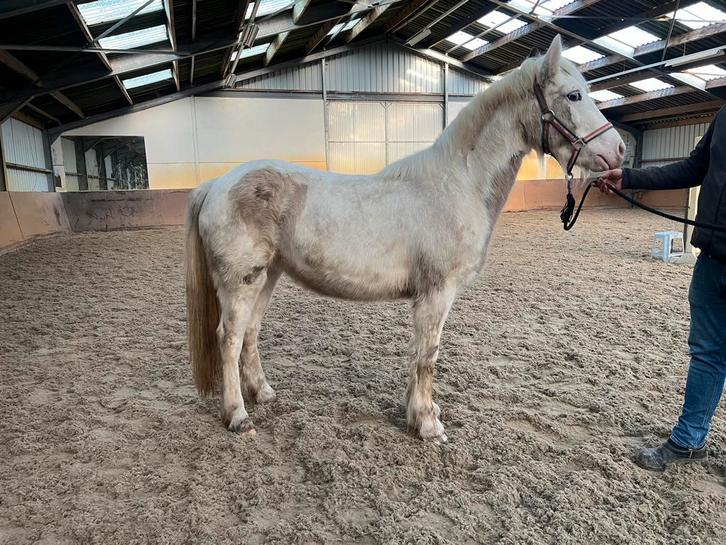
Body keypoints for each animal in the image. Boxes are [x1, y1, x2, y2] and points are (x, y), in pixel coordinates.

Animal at [185, 35, 625, 442]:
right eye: (574, 95)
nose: (618, 150)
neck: (457, 183)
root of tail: (215, 185)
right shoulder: (437, 293)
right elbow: (428, 356)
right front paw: (428, 425)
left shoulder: (428, 298)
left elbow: (418, 354)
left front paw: (418, 412)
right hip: (241, 282)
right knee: (229, 339)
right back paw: (238, 415)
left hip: (268, 277)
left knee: (250, 334)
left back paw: (262, 392)